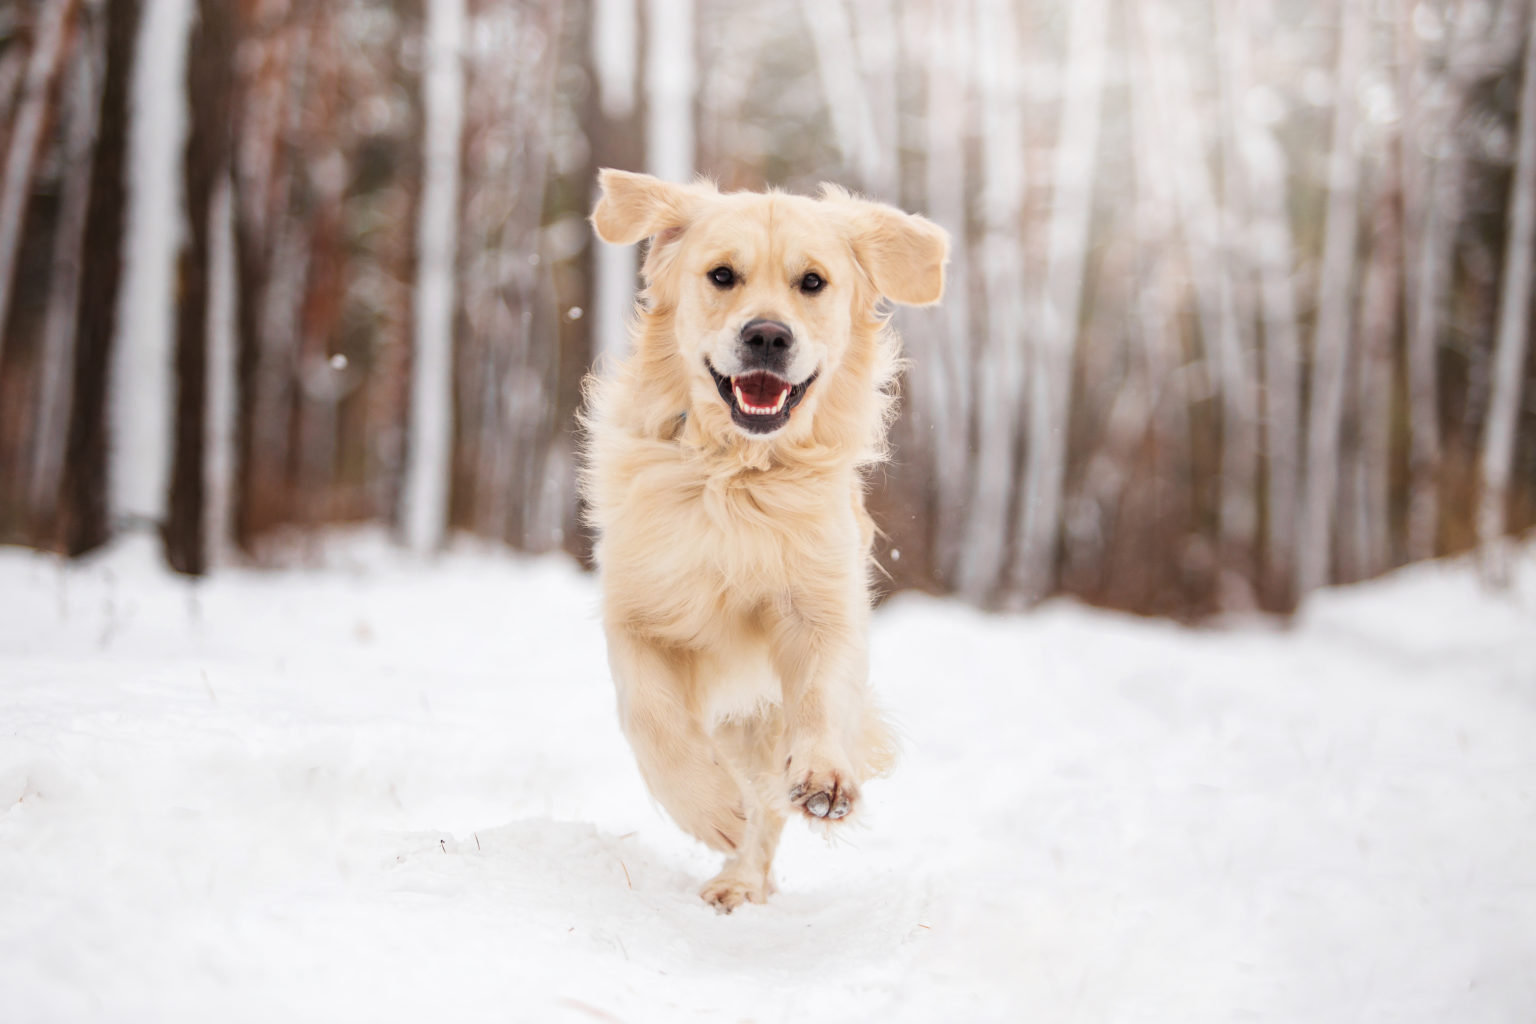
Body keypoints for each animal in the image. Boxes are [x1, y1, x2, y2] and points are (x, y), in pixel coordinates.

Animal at [580, 168, 946, 914]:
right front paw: (709, 807)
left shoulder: (822, 606)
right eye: (722, 275)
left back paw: (740, 879)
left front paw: (825, 778)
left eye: (813, 282)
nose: (768, 336)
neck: (737, 475)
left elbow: (820, 696)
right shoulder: (635, 610)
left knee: (770, 796)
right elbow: (652, 716)